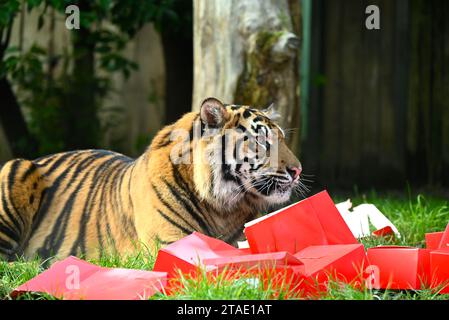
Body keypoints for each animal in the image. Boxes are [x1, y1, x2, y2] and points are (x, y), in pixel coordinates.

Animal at [0, 98, 302, 262]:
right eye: (262, 140)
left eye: (282, 138)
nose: (297, 170)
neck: (223, 206)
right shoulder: (170, 244)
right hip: (15, 168)